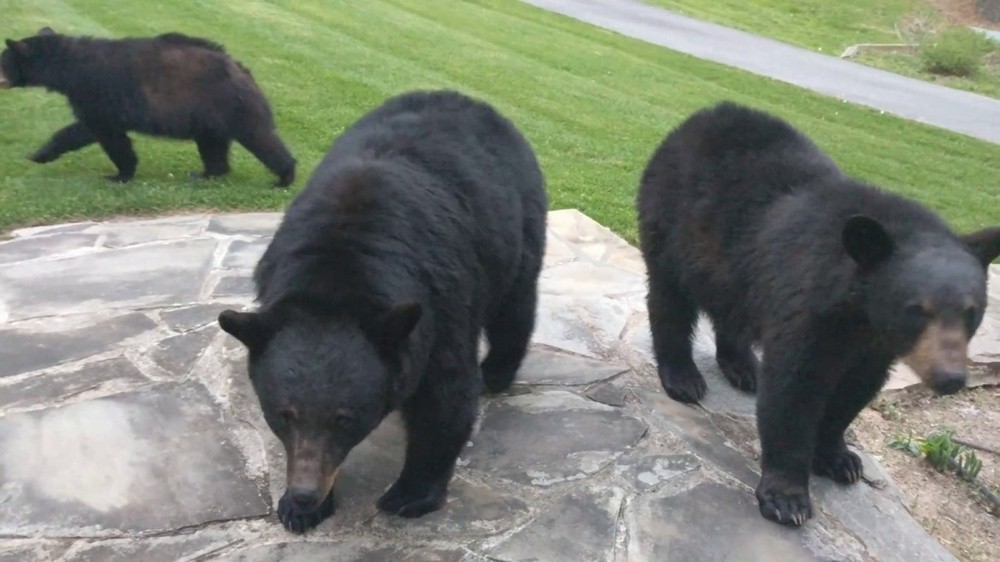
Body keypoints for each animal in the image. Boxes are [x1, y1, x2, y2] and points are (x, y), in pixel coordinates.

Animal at [0, 28, 294, 185]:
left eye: (2, 60)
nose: (0, 79)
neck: (70, 67)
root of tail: (244, 70)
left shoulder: (97, 92)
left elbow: (101, 132)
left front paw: (119, 175)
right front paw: (38, 153)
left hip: (234, 107)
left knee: (260, 138)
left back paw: (284, 177)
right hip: (210, 119)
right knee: (213, 146)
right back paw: (206, 174)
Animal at [219, 89, 552, 532]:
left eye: (344, 418)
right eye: (282, 415)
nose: (306, 493)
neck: (338, 267)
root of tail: (472, 101)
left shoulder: (440, 303)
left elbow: (446, 398)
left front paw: (410, 493)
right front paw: (298, 508)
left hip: (517, 230)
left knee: (514, 307)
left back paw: (497, 373)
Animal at [636, 103, 1000, 528]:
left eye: (972, 312)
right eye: (916, 310)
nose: (950, 379)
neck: (860, 314)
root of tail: (697, 119)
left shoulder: (873, 347)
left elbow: (855, 391)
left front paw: (839, 458)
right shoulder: (808, 303)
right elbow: (794, 388)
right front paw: (787, 497)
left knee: (732, 308)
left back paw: (743, 367)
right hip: (673, 224)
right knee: (670, 299)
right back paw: (683, 377)